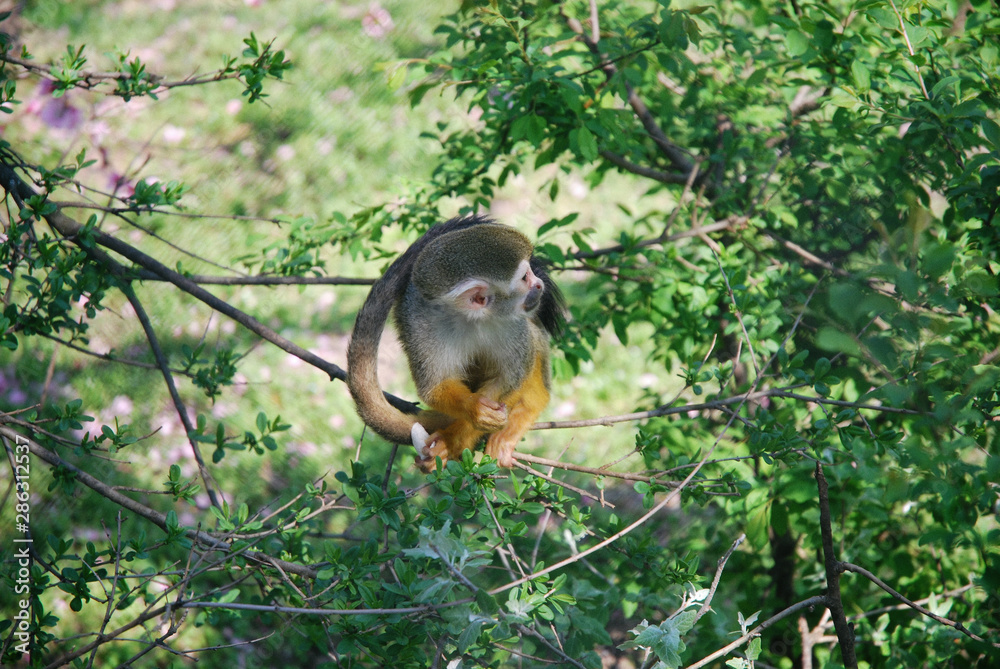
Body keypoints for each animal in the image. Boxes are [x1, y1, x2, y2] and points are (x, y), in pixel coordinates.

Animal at [347, 215, 563, 472]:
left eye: (530, 273)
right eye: (524, 278)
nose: (538, 284)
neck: (471, 317)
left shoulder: (513, 323)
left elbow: (511, 378)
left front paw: (455, 439)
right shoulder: (420, 323)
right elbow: (434, 387)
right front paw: (474, 409)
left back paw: (530, 405)